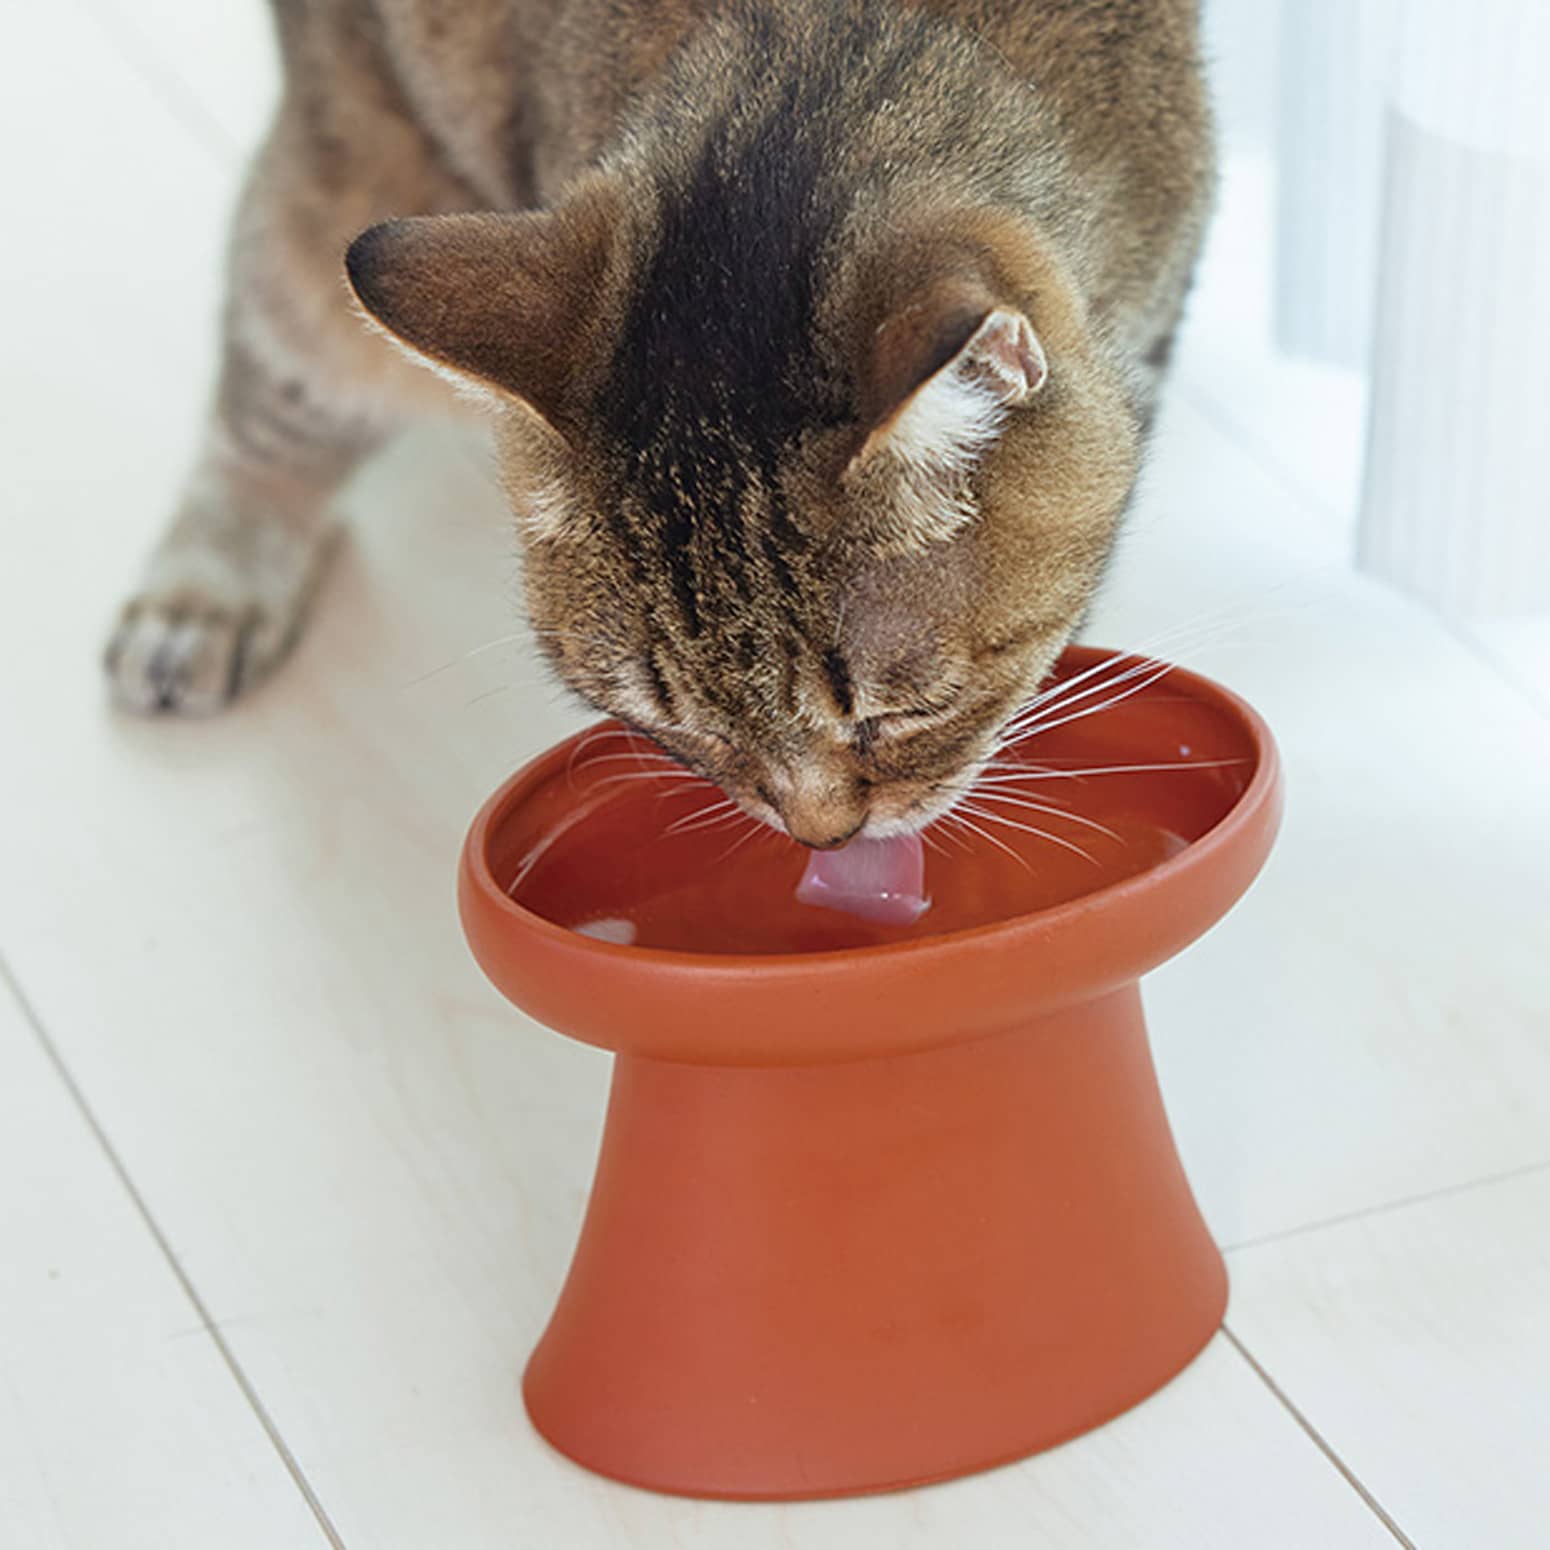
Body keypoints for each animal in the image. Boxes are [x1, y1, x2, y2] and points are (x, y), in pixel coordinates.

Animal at [106, 0, 1209, 849]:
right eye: (675, 726)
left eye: (899, 713)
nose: (821, 838)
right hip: (338, 207)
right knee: (268, 391)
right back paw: (201, 597)